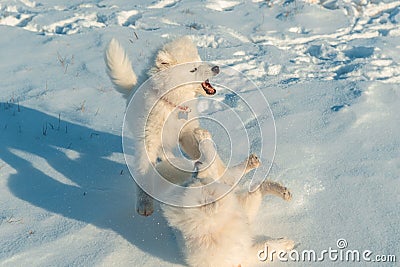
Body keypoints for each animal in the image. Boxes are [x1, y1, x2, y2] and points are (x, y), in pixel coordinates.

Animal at [104, 36, 220, 216]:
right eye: (193, 69)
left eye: (199, 59)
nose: (216, 68)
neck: (171, 104)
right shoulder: (148, 140)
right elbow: (144, 173)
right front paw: (144, 205)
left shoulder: (186, 132)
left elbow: (196, 147)